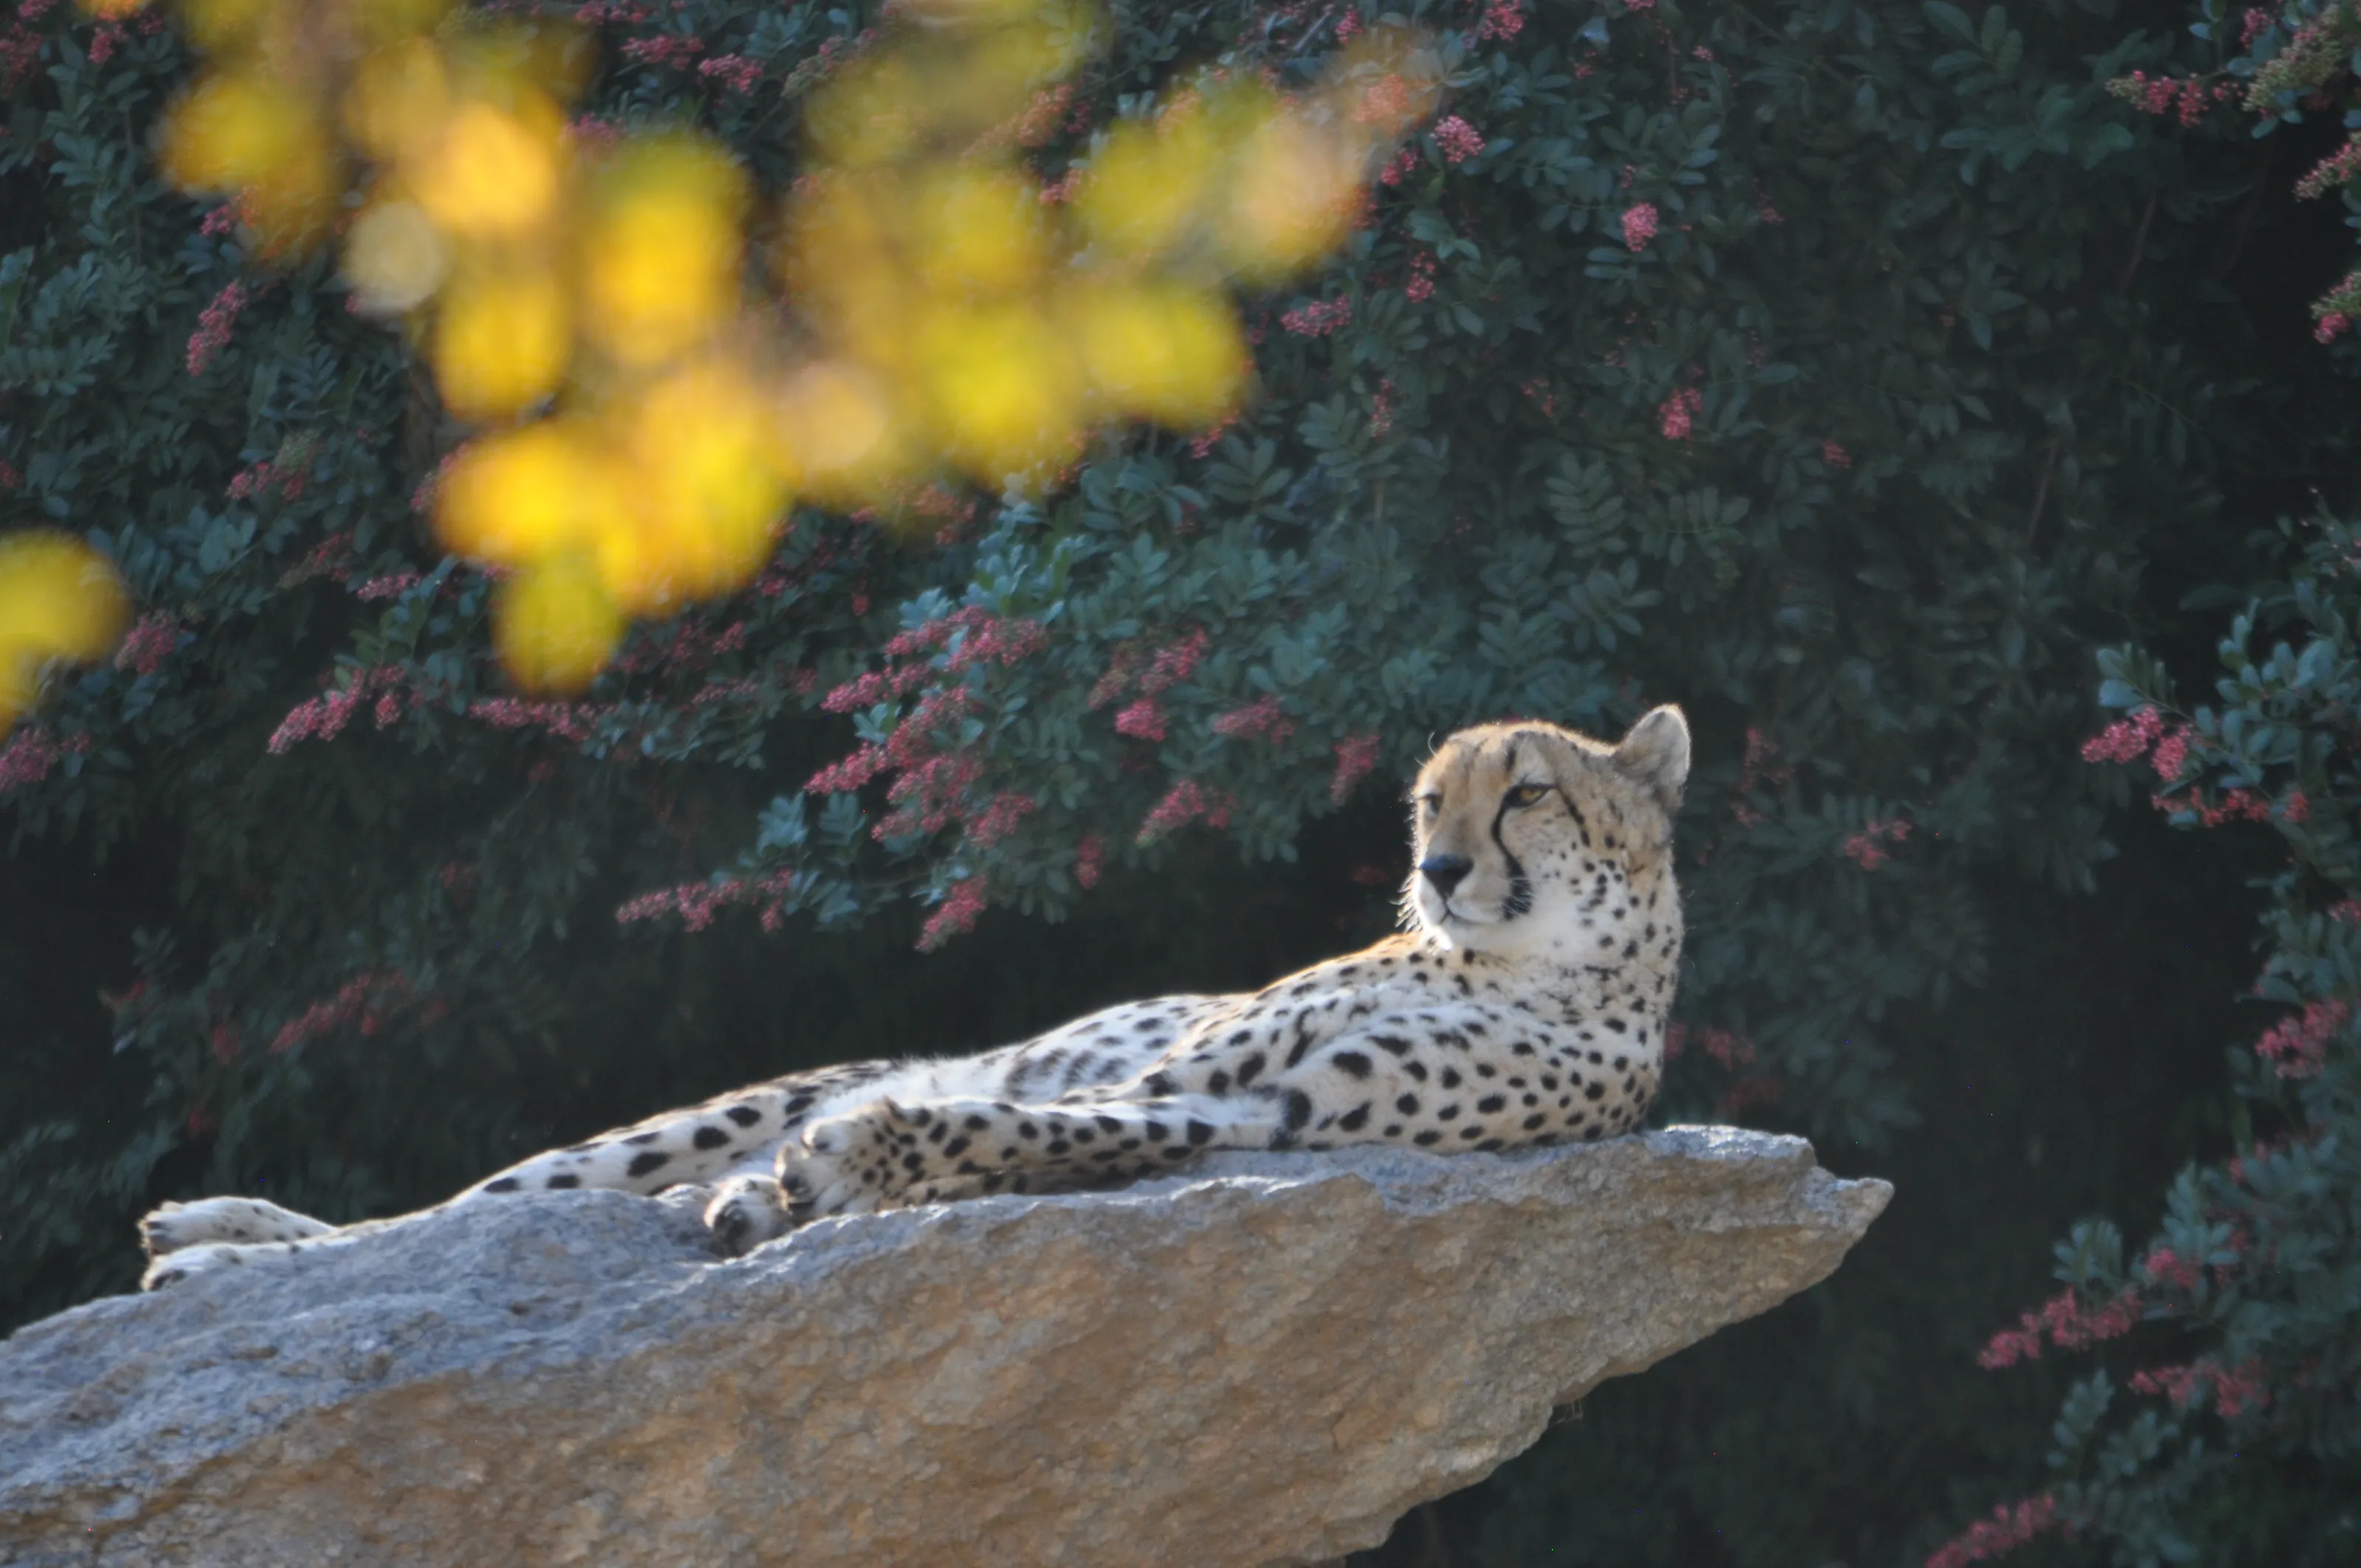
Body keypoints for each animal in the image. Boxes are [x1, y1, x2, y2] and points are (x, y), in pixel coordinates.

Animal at [136, 706, 1688, 1290]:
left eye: (1525, 795)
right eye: (1433, 801)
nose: (1436, 869)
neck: (1530, 965)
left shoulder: (1273, 1117)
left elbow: (1038, 1132)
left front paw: (835, 1176)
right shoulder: (1195, 1068)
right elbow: (1045, 1110)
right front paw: (819, 1173)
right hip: (722, 1101)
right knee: (461, 1214)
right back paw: (216, 1245)